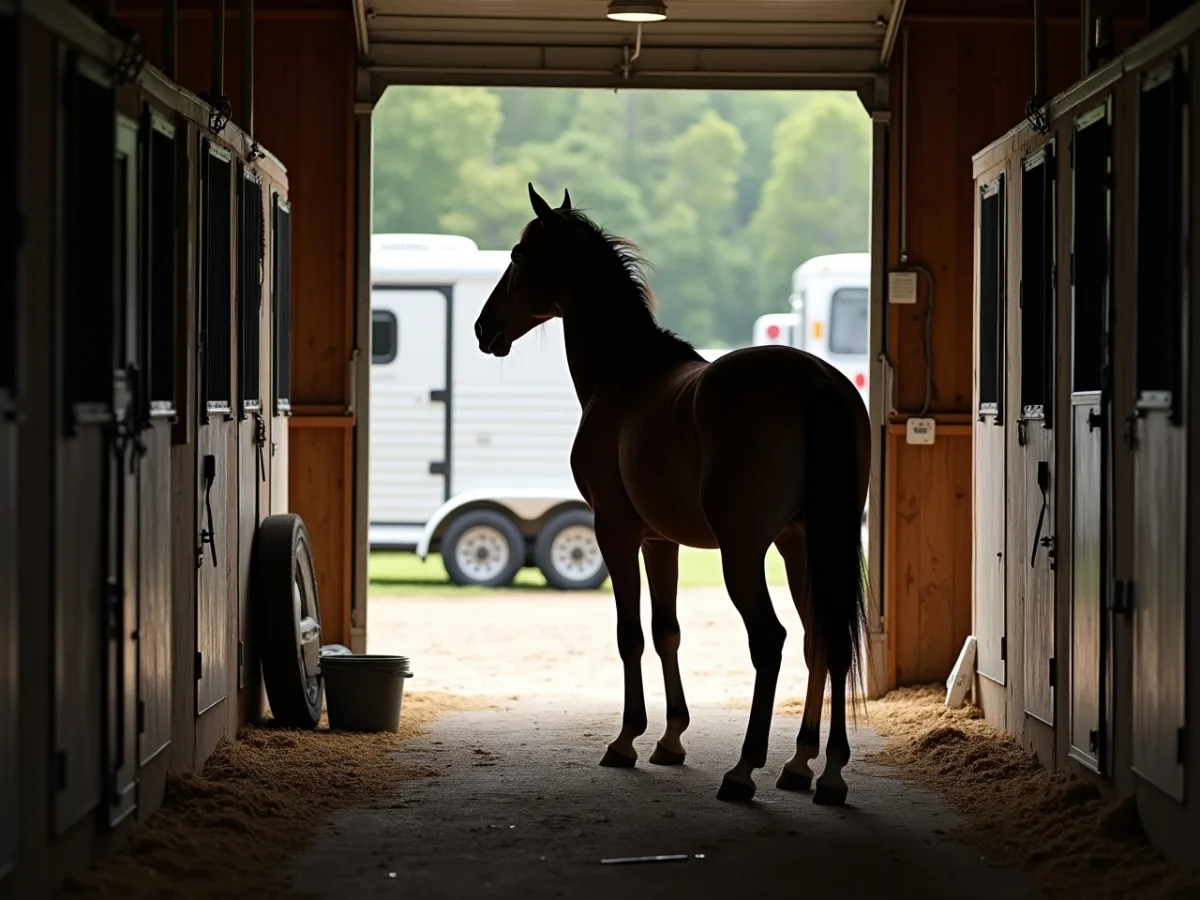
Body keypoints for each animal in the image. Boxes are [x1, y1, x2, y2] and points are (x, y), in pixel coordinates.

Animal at [474, 184, 871, 805]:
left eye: (517, 255)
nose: (482, 329)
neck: (625, 375)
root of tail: (817, 384)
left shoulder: (614, 531)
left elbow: (630, 635)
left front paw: (626, 740)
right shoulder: (661, 541)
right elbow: (667, 632)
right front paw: (671, 739)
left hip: (745, 552)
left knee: (771, 639)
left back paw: (744, 770)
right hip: (805, 544)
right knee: (822, 639)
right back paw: (814, 768)